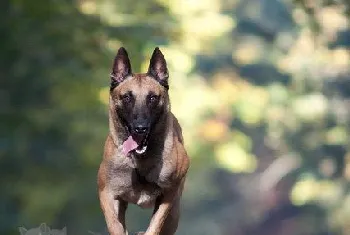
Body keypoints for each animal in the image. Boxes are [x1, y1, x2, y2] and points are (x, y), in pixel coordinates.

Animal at [97, 46, 190, 235]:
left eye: (152, 98)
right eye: (127, 97)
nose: (140, 128)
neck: (139, 160)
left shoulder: (168, 196)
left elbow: (155, 226)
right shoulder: (107, 194)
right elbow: (115, 225)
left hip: (174, 214)